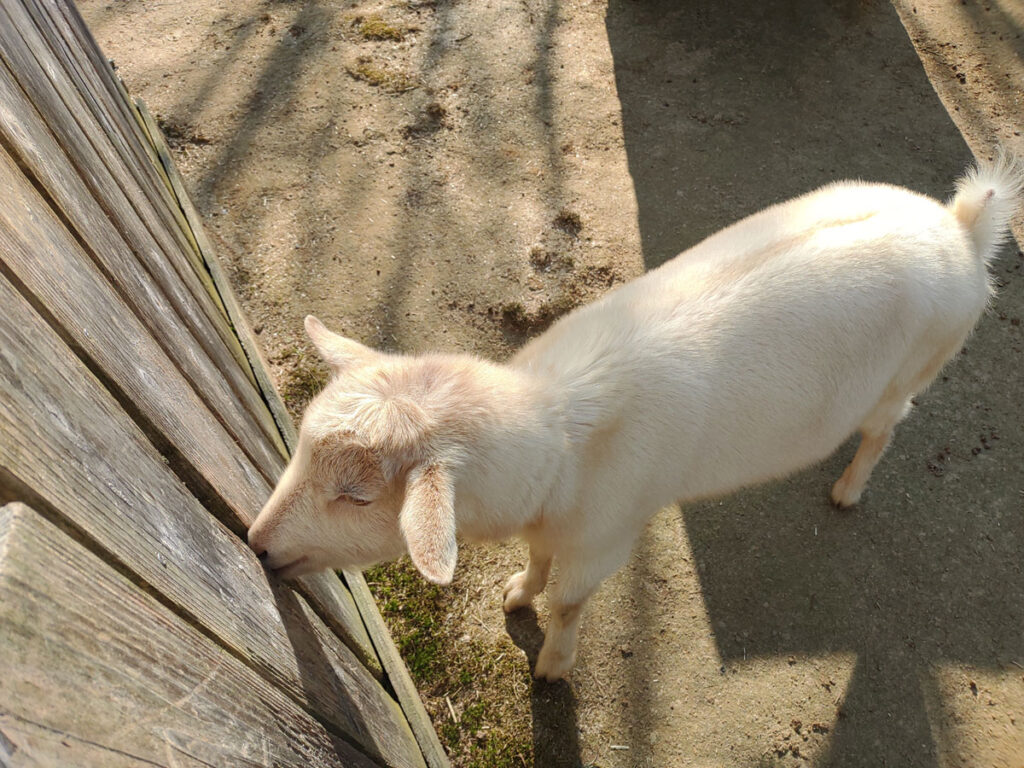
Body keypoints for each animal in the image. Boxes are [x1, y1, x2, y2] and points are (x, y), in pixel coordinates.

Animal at [249, 160, 1024, 679]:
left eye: (357, 497)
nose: (256, 544)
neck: (556, 435)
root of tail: (961, 228)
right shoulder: (554, 523)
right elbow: (538, 562)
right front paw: (516, 593)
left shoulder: (605, 536)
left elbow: (569, 602)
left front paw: (553, 665)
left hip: (917, 366)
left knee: (886, 426)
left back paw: (849, 487)